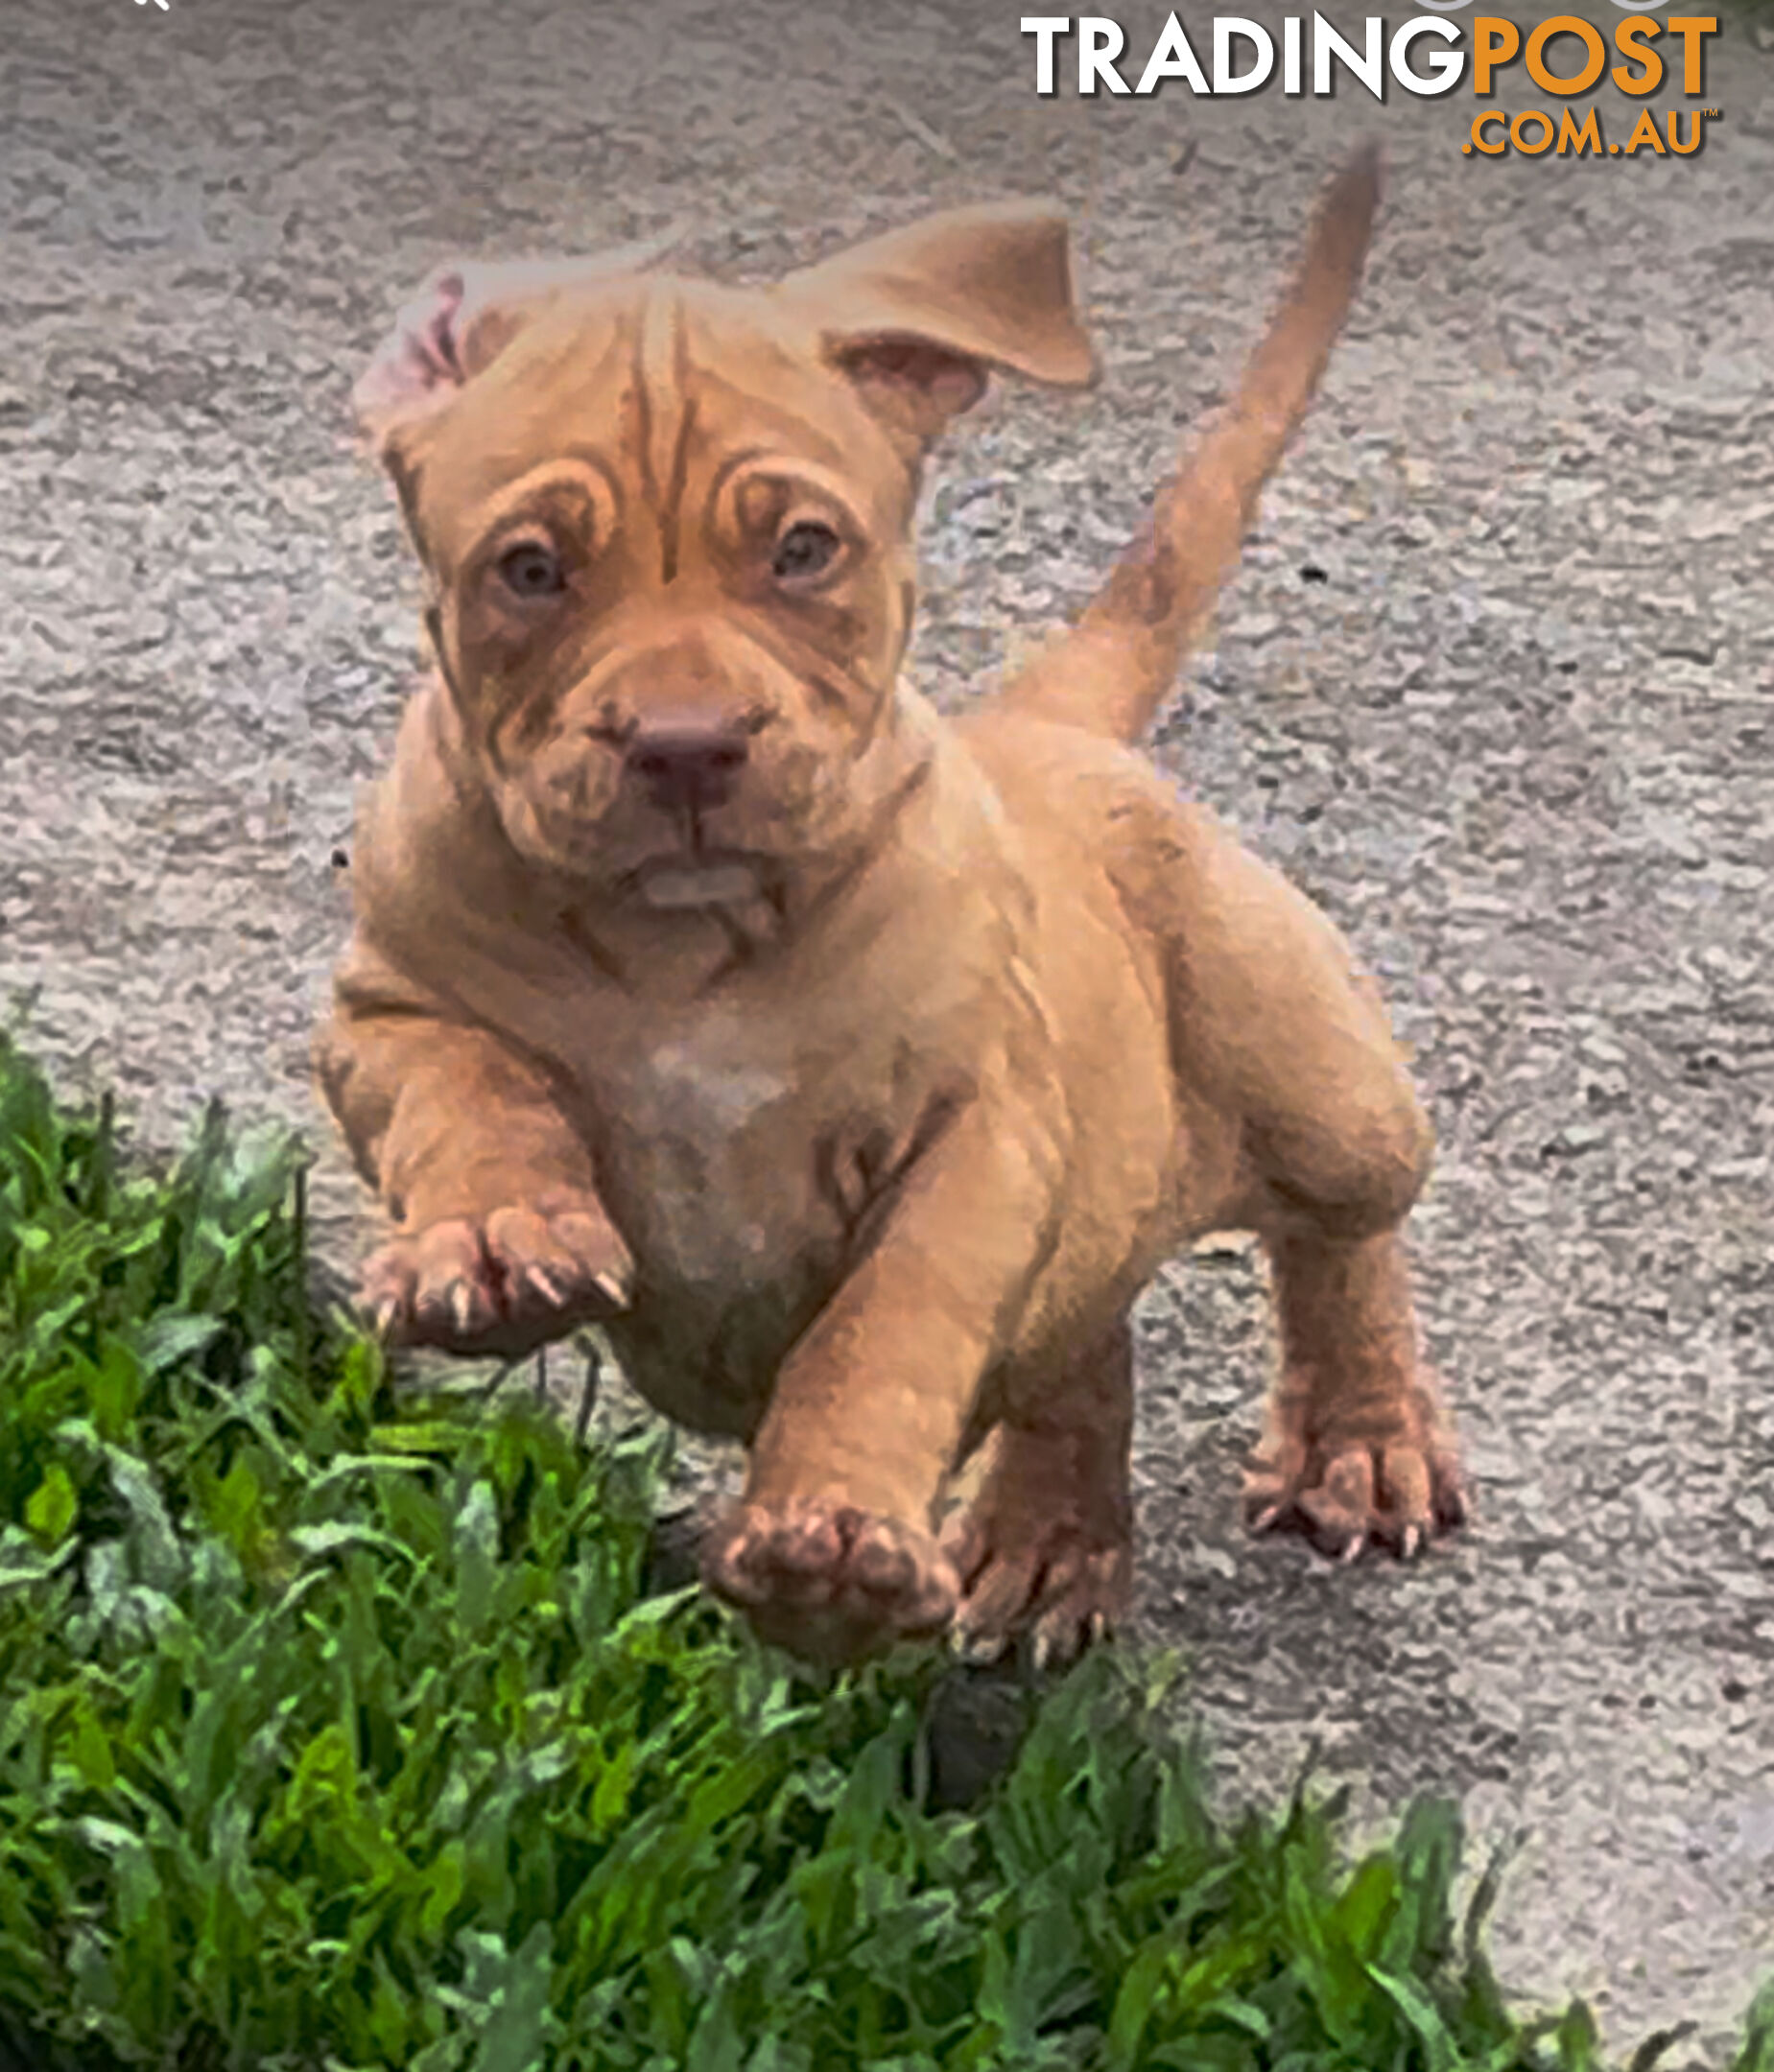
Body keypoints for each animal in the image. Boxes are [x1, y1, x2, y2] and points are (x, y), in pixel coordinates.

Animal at [320, 146, 1467, 1665]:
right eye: (528, 571)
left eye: (807, 551)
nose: (684, 746)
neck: (687, 948)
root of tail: (1043, 727)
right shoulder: (385, 1012)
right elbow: (470, 1094)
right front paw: (499, 1239)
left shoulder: (975, 1132)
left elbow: (884, 1327)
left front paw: (832, 1537)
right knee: (1086, 1332)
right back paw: (1048, 1539)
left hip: (1311, 1065)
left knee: (1345, 1231)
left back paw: (1359, 1436)